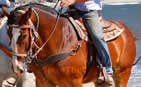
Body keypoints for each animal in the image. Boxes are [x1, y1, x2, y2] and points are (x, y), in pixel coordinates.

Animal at [7, 3, 136, 87]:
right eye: (8, 33)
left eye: (24, 35)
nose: (16, 66)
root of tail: (126, 30)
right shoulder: (42, 82)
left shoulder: (75, 81)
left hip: (123, 72)